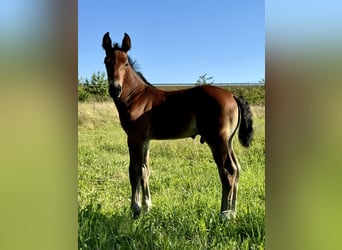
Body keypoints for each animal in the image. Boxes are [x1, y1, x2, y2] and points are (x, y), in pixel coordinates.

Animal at [100, 32, 252, 219]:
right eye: (106, 61)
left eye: (126, 63)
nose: (115, 89)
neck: (136, 96)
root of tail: (232, 95)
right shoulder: (146, 140)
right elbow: (145, 170)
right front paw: (147, 207)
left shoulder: (134, 138)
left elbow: (134, 170)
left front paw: (135, 210)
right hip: (228, 141)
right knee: (237, 169)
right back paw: (233, 213)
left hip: (217, 140)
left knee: (227, 171)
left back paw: (224, 215)